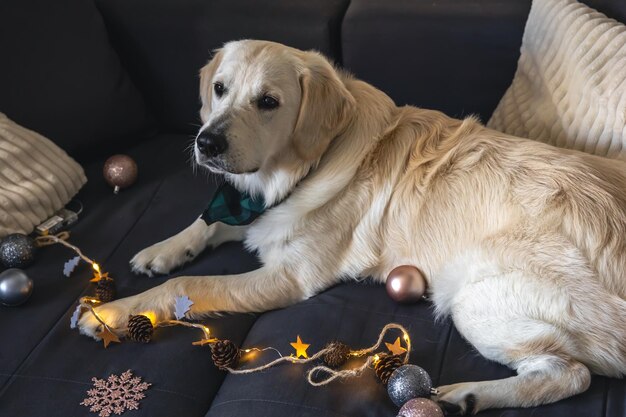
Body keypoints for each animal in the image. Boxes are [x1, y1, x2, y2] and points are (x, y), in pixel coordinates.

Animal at [79, 39, 624, 412]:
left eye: (268, 102)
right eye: (219, 90)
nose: (206, 143)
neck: (298, 169)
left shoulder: (289, 276)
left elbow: (191, 284)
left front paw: (111, 312)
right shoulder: (250, 210)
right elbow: (205, 223)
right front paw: (161, 250)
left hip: (475, 297)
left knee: (570, 375)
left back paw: (469, 394)